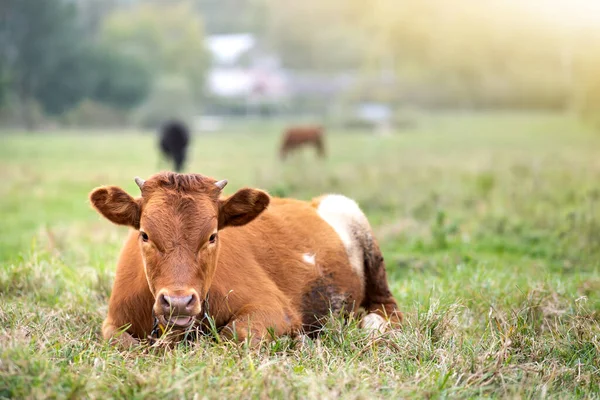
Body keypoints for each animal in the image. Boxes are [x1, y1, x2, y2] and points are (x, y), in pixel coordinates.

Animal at [89, 172, 400, 346]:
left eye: (212, 236)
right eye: (144, 234)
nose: (178, 302)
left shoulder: (274, 307)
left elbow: (235, 334)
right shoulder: (114, 321)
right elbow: (121, 342)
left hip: (354, 218)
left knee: (388, 308)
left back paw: (374, 326)